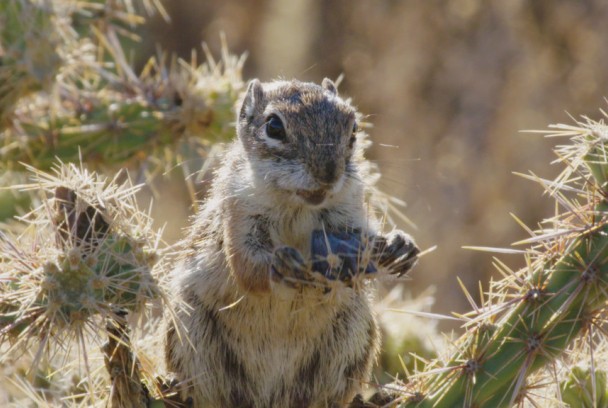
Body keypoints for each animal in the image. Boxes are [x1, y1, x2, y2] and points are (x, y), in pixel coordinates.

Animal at [164, 78, 418, 406]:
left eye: (353, 128)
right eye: (273, 126)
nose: (328, 173)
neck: (298, 206)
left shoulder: (349, 211)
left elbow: (364, 238)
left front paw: (399, 245)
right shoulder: (239, 213)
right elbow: (246, 266)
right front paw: (283, 265)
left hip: (352, 332)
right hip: (190, 327)